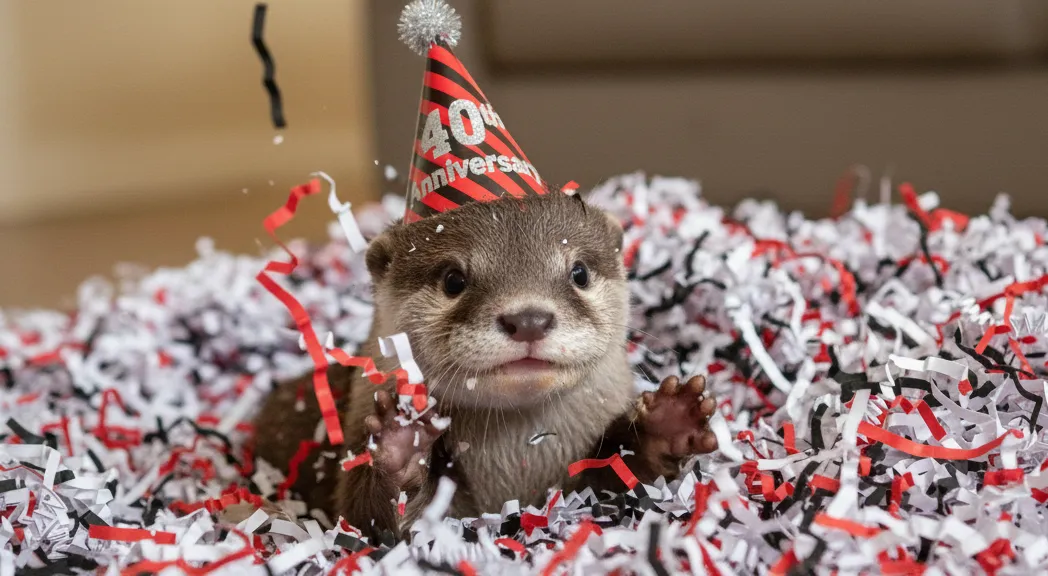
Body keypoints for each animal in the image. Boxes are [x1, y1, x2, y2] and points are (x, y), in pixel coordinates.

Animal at [250, 192, 718, 539]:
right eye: (453, 279)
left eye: (580, 272)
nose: (529, 319)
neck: (516, 468)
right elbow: (369, 519)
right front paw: (399, 444)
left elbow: (627, 480)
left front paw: (667, 422)